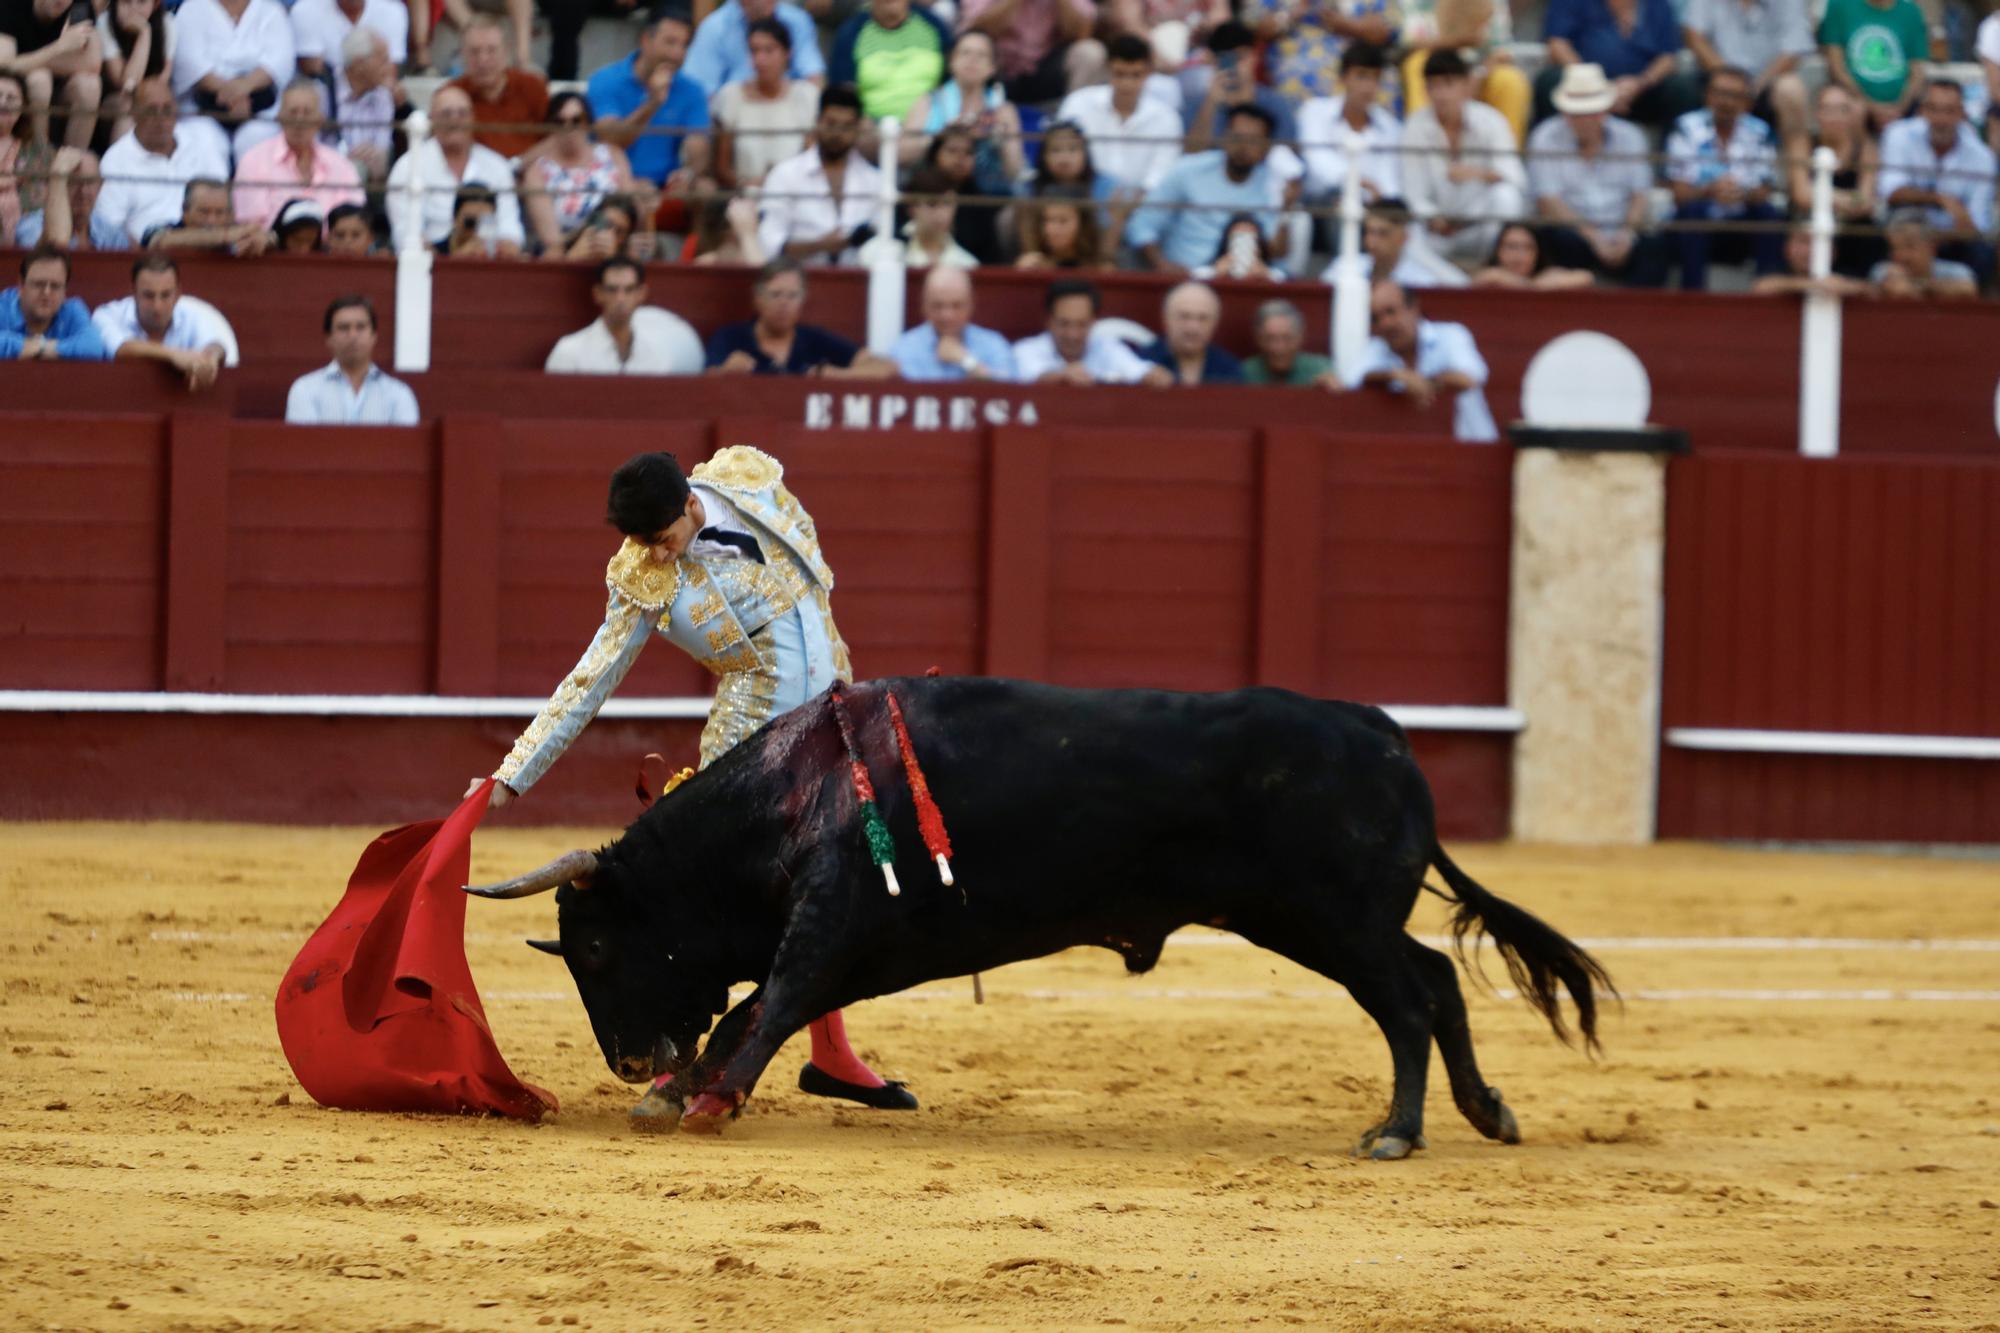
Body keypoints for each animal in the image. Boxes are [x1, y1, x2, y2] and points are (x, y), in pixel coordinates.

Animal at [468, 676, 1608, 1152]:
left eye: (597, 944)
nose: (628, 1061)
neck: (799, 787)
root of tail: (1383, 732)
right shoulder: (851, 943)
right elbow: (754, 1008)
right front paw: (683, 1091)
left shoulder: (833, 923)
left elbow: (772, 1000)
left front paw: (704, 1099)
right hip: (1321, 920)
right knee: (1436, 979)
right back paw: (1485, 1111)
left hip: (1333, 920)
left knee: (1408, 1000)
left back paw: (1398, 1131)